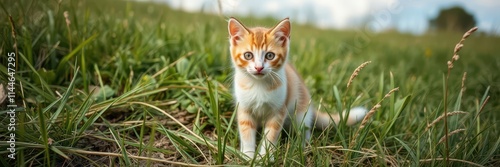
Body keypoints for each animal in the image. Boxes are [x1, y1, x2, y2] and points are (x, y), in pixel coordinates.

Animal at [228, 17, 368, 159]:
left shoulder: (278, 111)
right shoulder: (244, 109)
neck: (258, 84)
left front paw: (265, 157)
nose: (259, 68)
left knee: (305, 128)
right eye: (248, 55)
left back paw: (302, 146)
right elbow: (246, 133)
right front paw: (248, 156)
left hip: (300, 113)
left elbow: (271, 135)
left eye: (270, 55)